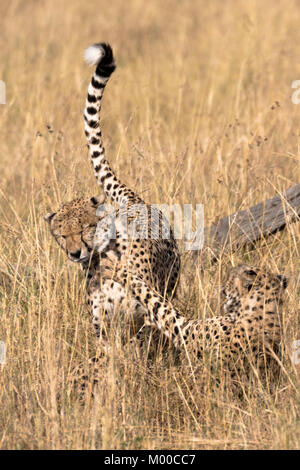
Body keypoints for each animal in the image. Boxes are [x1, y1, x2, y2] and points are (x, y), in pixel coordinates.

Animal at [44, 42, 180, 348]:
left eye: (85, 227)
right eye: (62, 235)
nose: (75, 253)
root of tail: (133, 200)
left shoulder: (146, 313)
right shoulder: (102, 326)